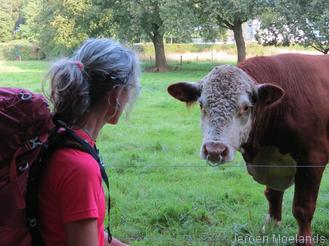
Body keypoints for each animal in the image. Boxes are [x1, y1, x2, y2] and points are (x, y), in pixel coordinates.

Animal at [168, 54, 328, 246]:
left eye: (245, 107)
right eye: (201, 105)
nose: (214, 150)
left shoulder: (312, 159)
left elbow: (303, 208)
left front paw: (303, 241)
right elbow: (273, 195)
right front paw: (270, 230)